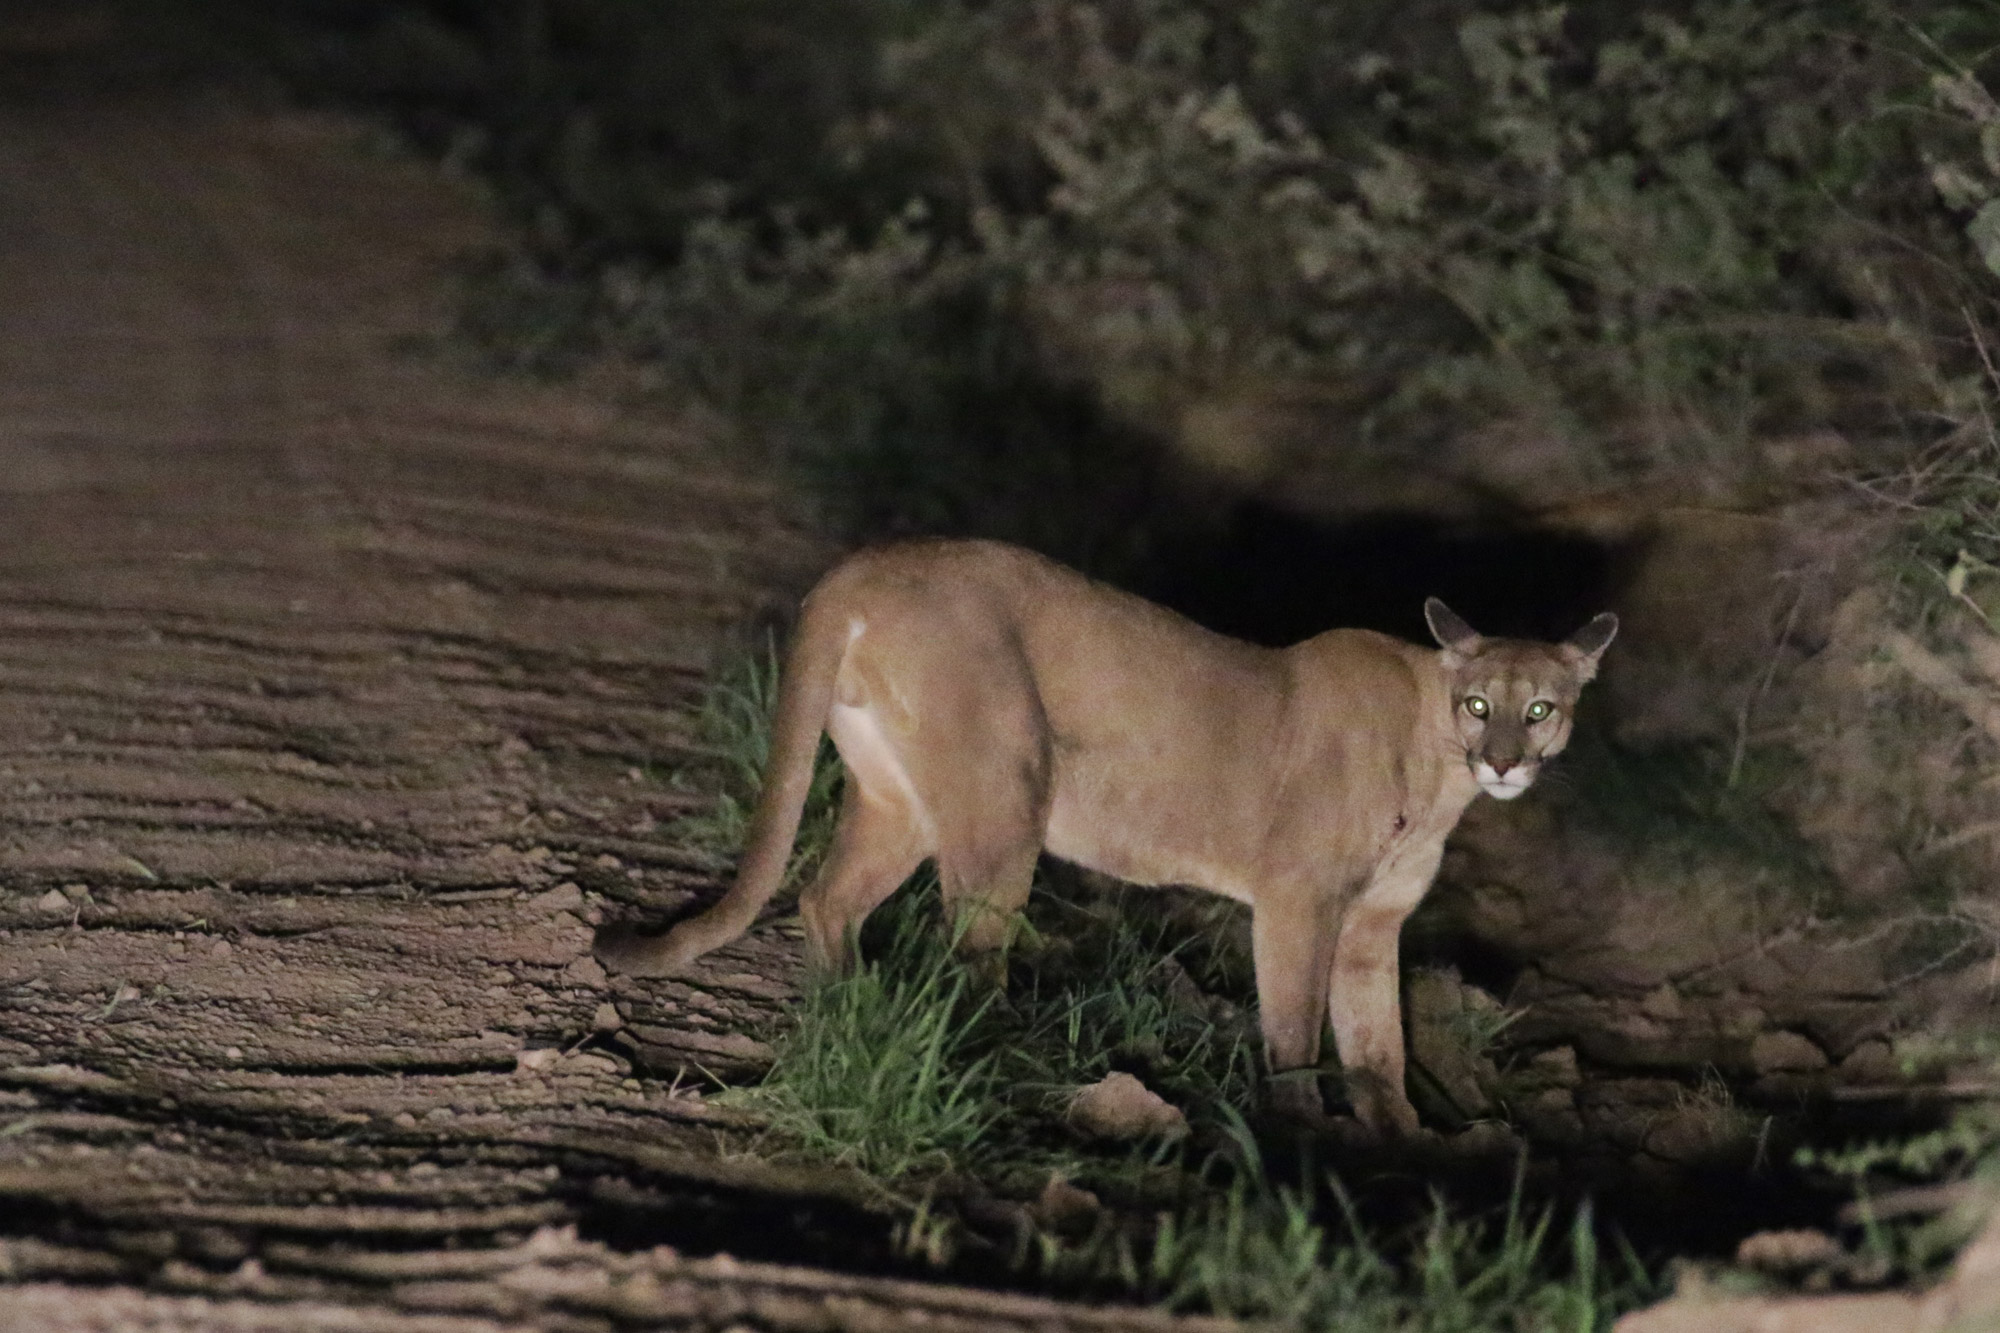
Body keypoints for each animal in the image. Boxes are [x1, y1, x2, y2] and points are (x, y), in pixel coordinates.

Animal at [600, 536, 1616, 1128]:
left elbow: (1382, 1054)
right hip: (1006, 794)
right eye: (1478, 703)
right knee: (967, 951)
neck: (1433, 753)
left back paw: (850, 1008)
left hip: (902, 803)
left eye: (1541, 708)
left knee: (825, 898)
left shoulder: (1373, 927)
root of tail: (858, 571)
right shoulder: (1301, 902)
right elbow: (1296, 1035)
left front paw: (1398, 1158)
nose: (1504, 761)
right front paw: (1305, 1142)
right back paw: (989, 1066)